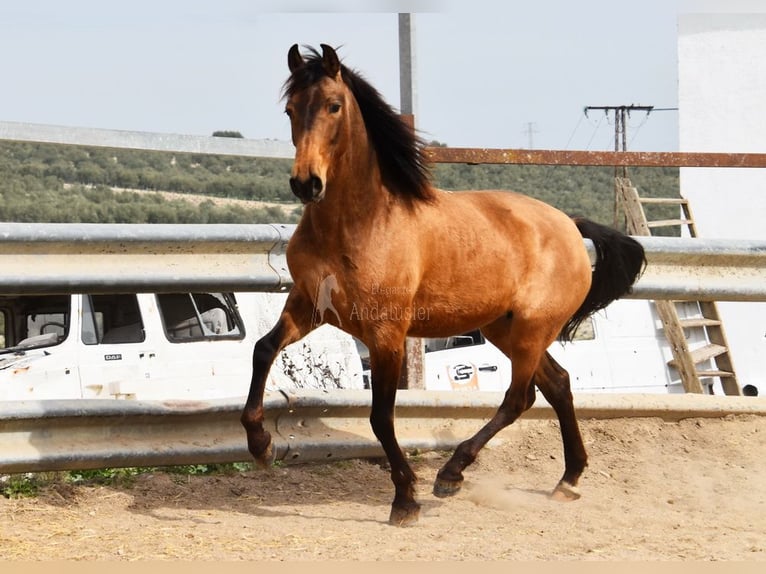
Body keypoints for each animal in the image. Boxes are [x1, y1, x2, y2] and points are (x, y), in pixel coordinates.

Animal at [242, 45, 648, 528]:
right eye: (289, 109)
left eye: (333, 106)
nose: (307, 183)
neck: (360, 224)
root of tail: (569, 224)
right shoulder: (309, 305)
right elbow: (263, 349)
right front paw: (261, 446)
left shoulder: (386, 333)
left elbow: (381, 417)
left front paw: (405, 499)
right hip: (504, 329)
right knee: (558, 384)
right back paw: (567, 480)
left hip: (532, 329)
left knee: (520, 397)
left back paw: (451, 474)